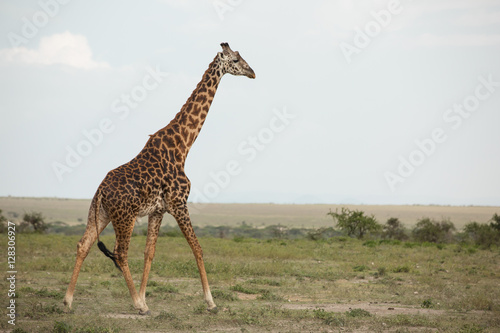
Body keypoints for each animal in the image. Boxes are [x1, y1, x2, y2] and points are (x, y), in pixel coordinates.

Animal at [63, 42, 256, 314]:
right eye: (236, 59)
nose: (253, 72)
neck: (183, 145)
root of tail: (100, 191)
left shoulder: (158, 210)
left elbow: (149, 252)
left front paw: (145, 297)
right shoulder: (178, 203)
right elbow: (197, 248)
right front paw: (210, 301)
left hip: (100, 213)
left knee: (84, 244)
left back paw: (68, 300)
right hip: (125, 217)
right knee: (120, 253)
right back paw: (136, 305)